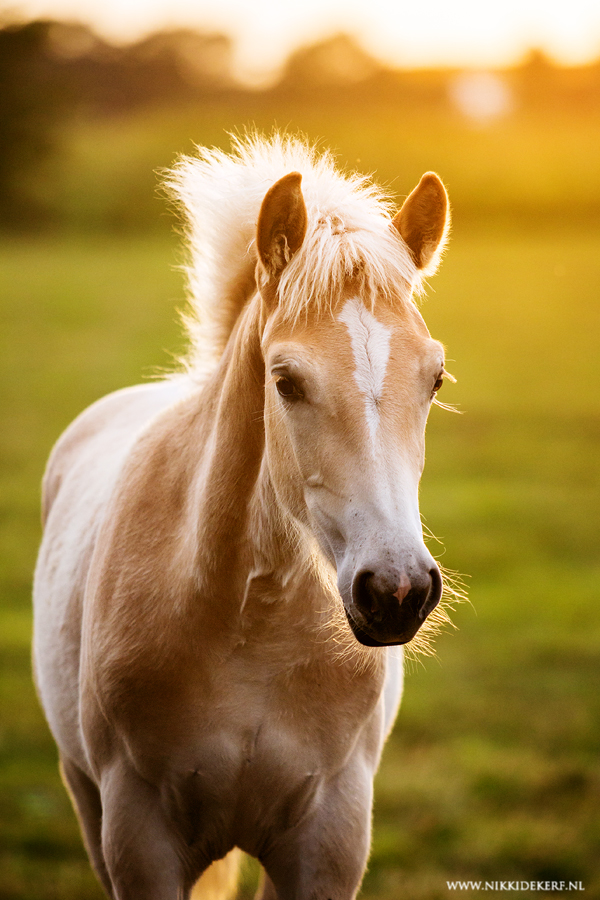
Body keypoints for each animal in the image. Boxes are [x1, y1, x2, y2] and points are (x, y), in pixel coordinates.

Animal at [31, 134, 454, 900]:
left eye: (434, 378)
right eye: (285, 381)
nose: (397, 591)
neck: (251, 627)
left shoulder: (329, 839)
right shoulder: (138, 838)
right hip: (83, 793)